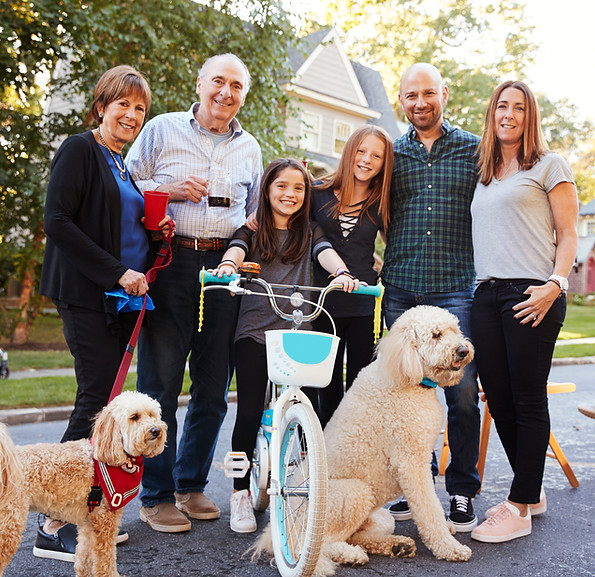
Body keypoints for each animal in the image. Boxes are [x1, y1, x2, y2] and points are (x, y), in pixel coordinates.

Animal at [0, 390, 166, 572]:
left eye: (151, 415)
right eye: (134, 417)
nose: (156, 430)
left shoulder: (89, 522)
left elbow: (85, 556)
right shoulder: (104, 518)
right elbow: (105, 561)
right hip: (9, 525)